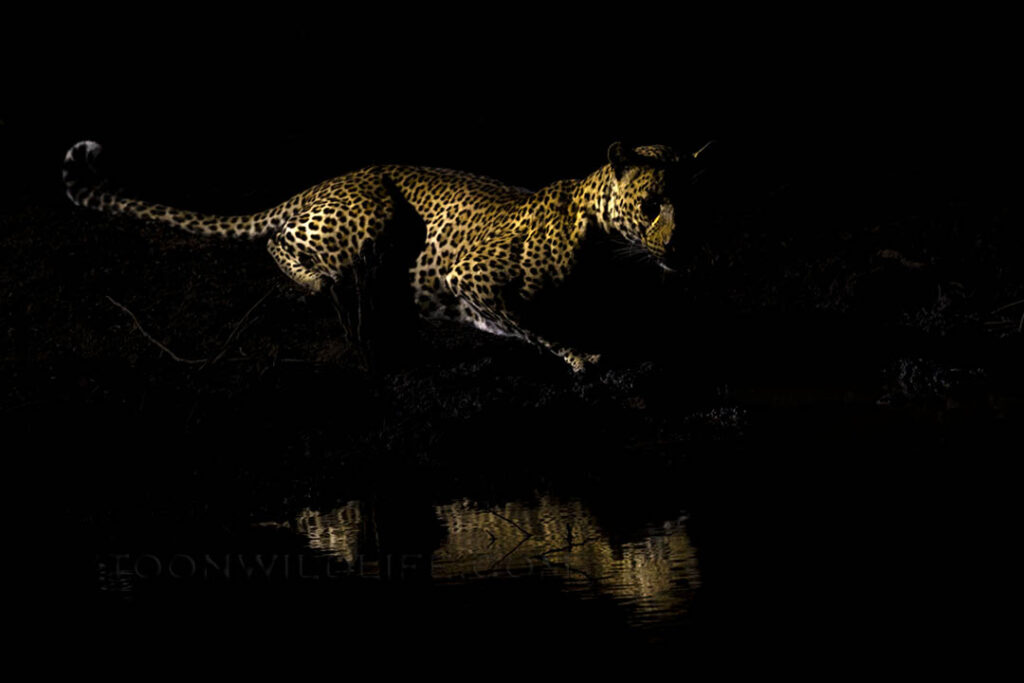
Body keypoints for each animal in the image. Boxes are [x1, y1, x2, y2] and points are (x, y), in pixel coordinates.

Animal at [63, 140, 710, 372]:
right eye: (652, 204)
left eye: (696, 202)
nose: (682, 245)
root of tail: (315, 185)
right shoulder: (470, 273)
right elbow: (534, 323)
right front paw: (580, 354)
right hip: (371, 218)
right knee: (278, 242)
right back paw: (319, 283)